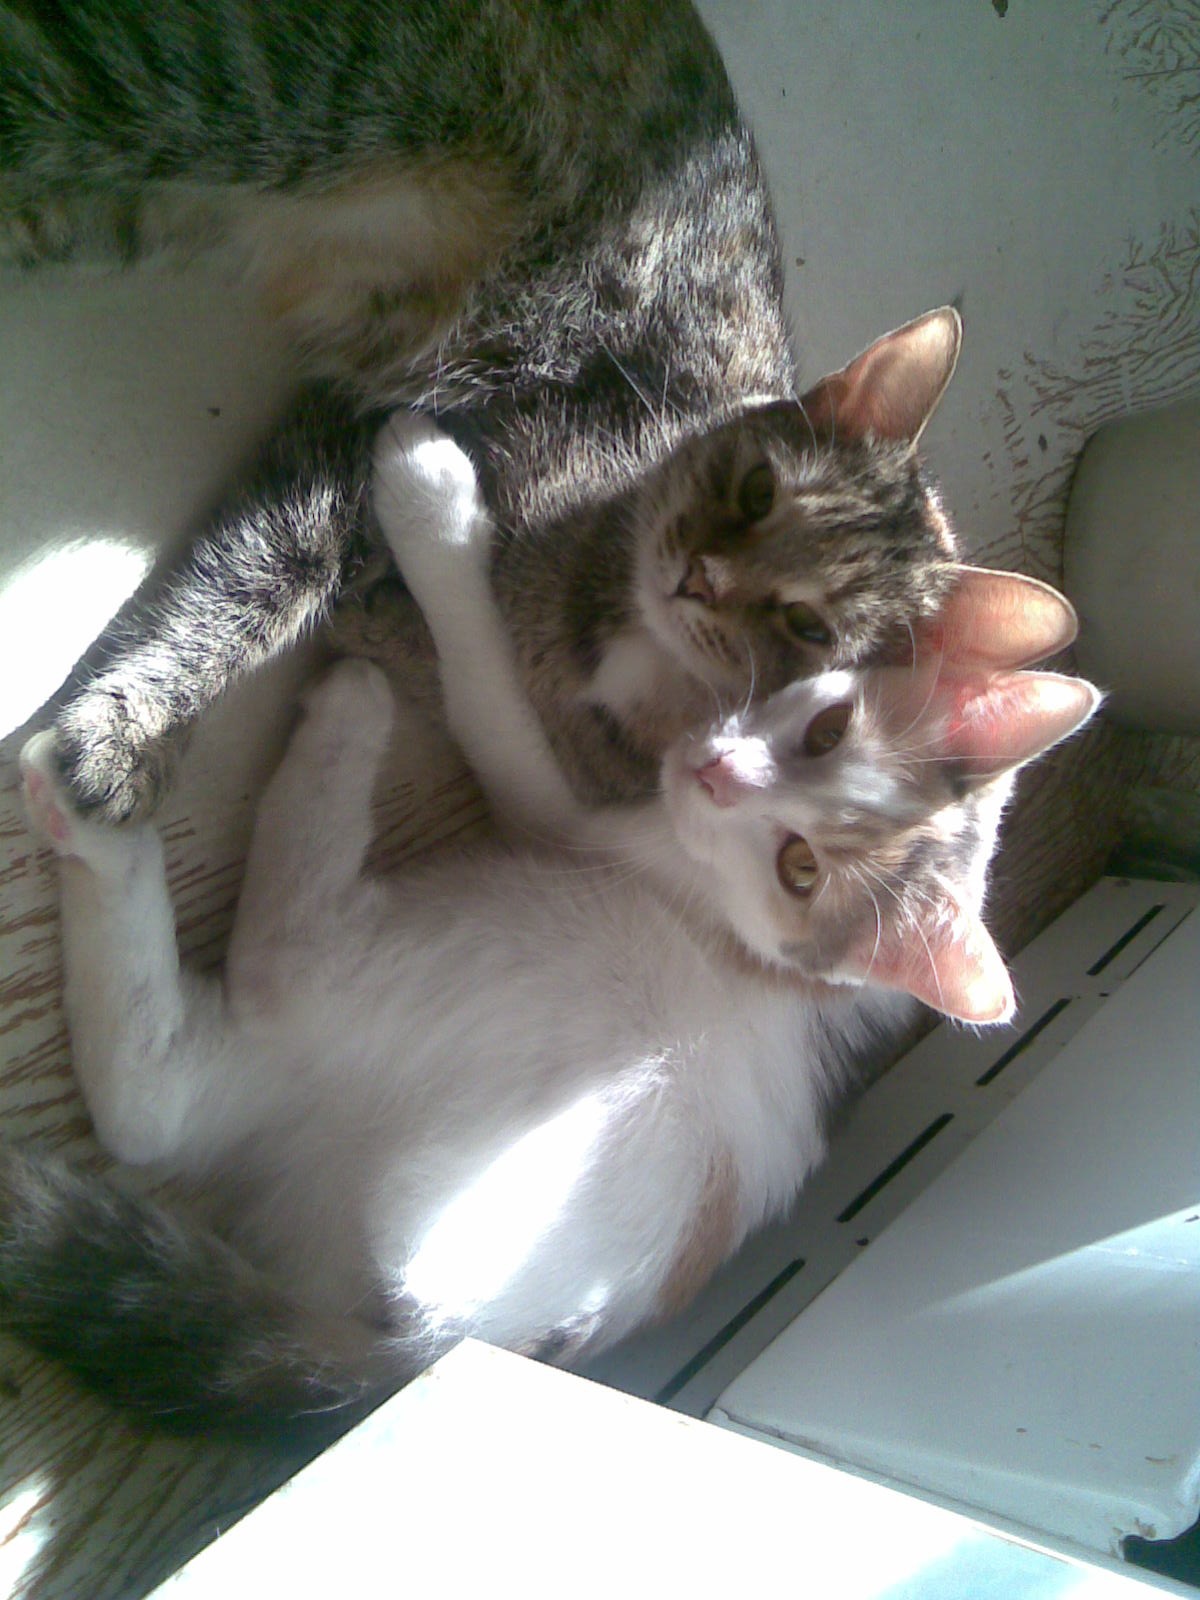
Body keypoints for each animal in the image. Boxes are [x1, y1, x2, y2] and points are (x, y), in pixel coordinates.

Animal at [2, 0, 963, 815]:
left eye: (808, 627)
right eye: (759, 491)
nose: (703, 577)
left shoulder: (353, 432)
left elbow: (262, 577)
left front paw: (134, 725)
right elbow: (272, 584)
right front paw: (133, 729)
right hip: (224, 94)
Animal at [3, 427, 1099, 1441]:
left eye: (800, 869)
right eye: (827, 732)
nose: (717, 776)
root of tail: (439, 1349)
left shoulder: (553, 806)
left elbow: (483, 676)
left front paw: (427, 500)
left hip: (380, 976)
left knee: (171, 1074)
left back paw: (247, 749)